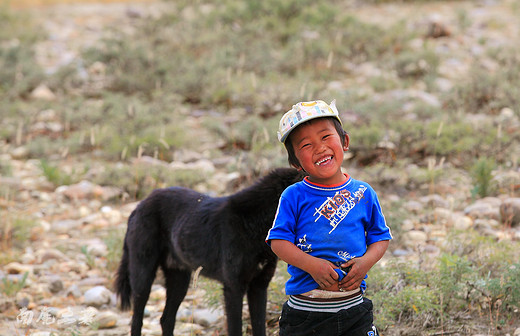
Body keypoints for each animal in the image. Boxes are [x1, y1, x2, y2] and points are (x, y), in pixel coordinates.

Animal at [112, 168, 300, 336]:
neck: (253, 224)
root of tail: (139, 205)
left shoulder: (259, 287)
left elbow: (259, 327)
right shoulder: (233, 288)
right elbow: (235, 329)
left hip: (180, 282)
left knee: (166, 319)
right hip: (143, 280)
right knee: (137, 320)